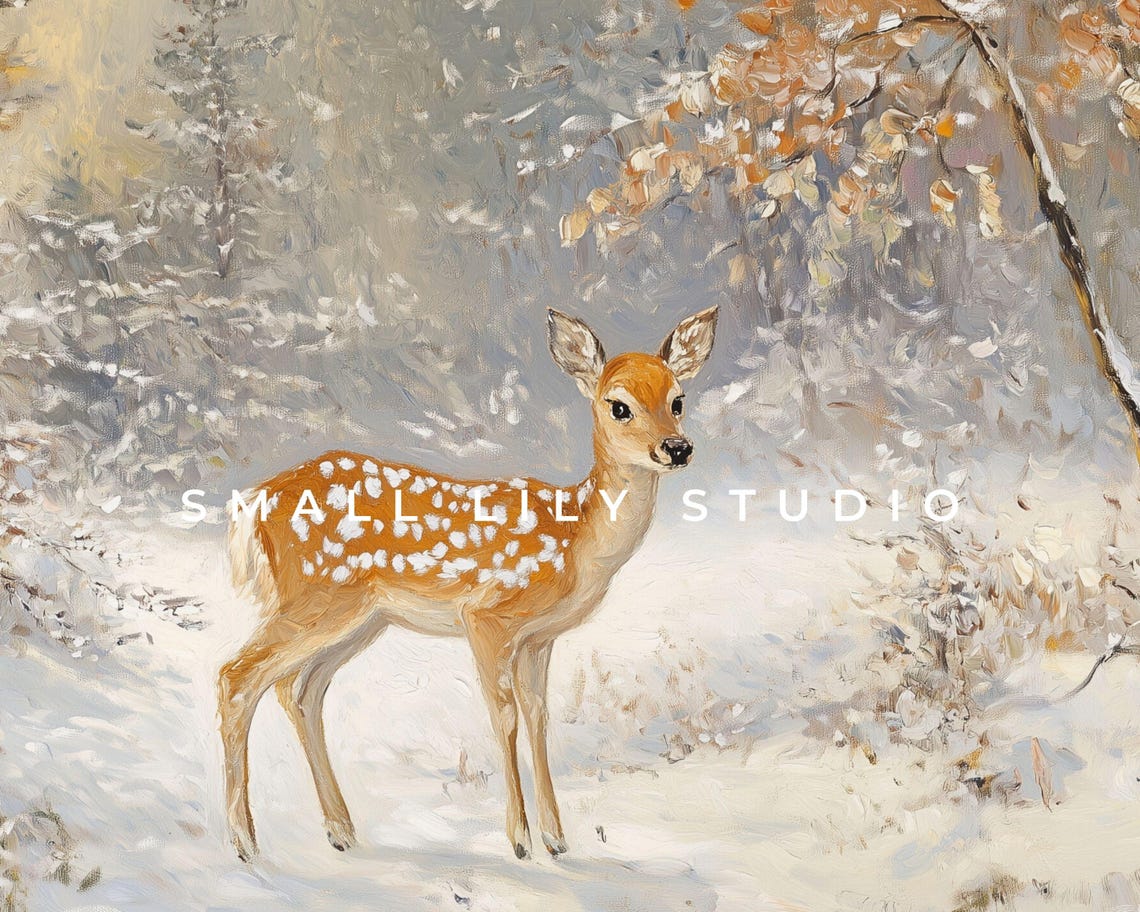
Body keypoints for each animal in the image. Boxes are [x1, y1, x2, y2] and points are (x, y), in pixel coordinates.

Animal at [218, 305, 718, 862]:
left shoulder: (539, 638)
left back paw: (340, 831)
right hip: (317, 594)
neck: (576, 540)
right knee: (236, 678)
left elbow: (539, 719)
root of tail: (253, 502)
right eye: (619, 406)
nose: (677, 447)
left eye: (678, 400)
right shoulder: (487, 616)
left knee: (299, 690)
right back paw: (244, 842)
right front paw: (520, 840)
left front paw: (556, 839)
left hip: (359, 618)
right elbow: (505, 717)